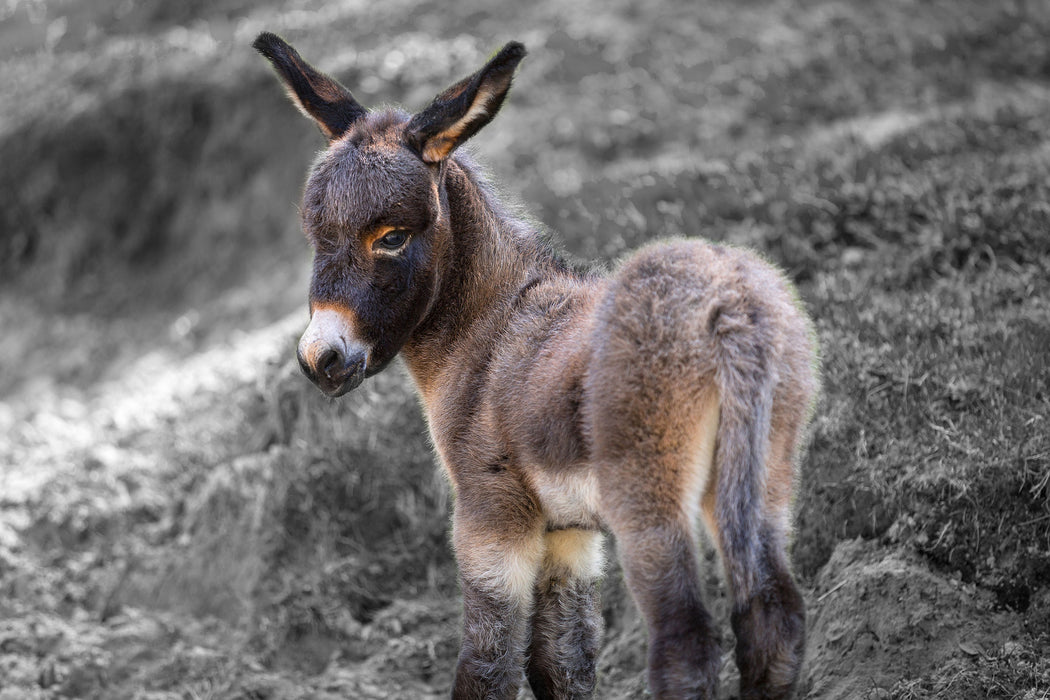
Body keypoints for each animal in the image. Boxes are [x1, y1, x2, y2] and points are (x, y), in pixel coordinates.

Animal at [256, 34, 818, 700]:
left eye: (390, 237)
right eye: (315, 235)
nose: (322, 359)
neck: (490, 328)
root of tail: (730, 306)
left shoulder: (490, 514)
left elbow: (488, 665)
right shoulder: (569, 533)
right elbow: (561, 663)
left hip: (651, 503)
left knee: (684, 641)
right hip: (761, 479)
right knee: (773, 618)